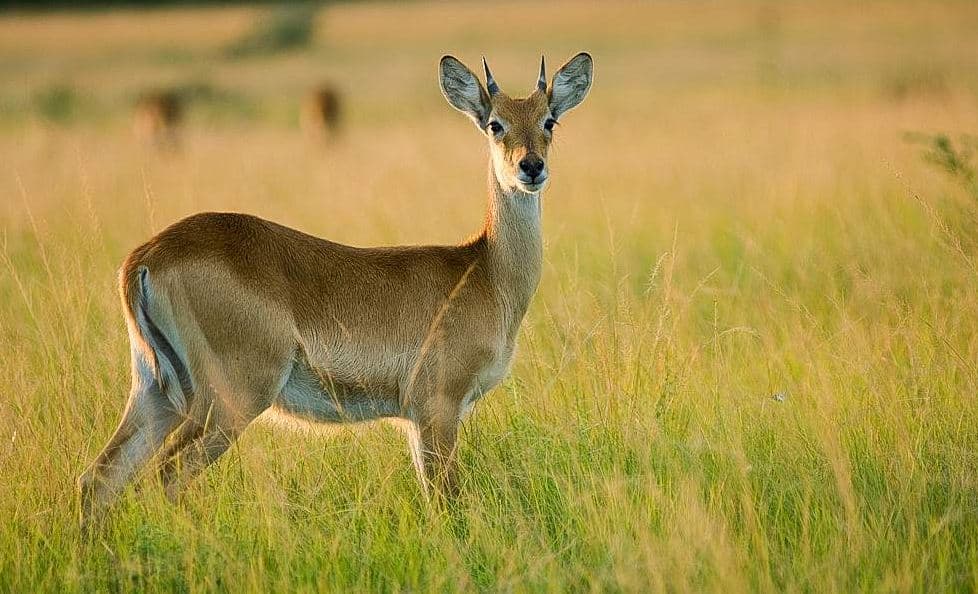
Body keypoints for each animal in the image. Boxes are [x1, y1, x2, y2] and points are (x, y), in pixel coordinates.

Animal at [76, 53, 592, 524]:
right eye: (494, 124)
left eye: (549, 120)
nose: (531, 167)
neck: (484, 270)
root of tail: (146, 256)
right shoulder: (438, 410)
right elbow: (447, 501)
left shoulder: (416, 420)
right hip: (228, 402)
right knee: (165, 475)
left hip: (155, 393)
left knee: (99, 478)